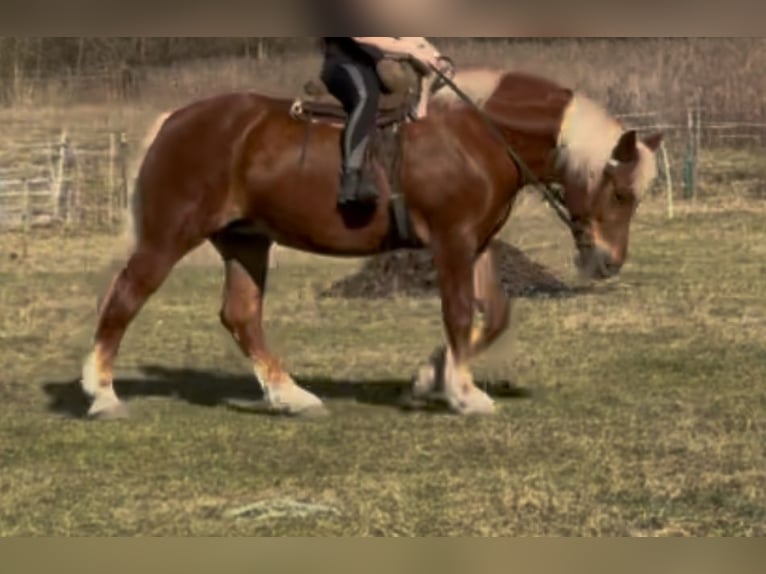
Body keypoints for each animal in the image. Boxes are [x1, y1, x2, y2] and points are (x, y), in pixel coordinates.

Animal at [81, 64, 663, 420]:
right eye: (619, 192)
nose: (609, 263)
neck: (478, 136)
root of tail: (175, 122)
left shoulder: (475, 245)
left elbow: (493, 316)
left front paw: (430, 377)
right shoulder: (452, 242)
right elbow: (458, 314)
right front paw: (463, 393)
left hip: (246, 242)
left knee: (241, 315)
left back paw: (289, 394)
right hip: (168, 237)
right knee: (124, 297)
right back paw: (102, 393)